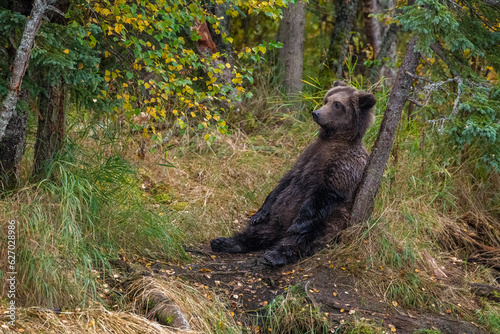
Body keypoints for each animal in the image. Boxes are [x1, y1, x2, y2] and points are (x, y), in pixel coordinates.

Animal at [210, 81, 376, 266]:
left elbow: (325, 193)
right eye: (326, 100)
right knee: (259, 230)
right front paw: (258, 214)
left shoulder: (344, 166)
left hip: (332, 221)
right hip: (275, 216)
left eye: (337, 104)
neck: (334, 139)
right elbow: (284, 182)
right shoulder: (308, 155)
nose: (316, 113)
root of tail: (280, 229)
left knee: (303, 238)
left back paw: (275, 255)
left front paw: (298, 224)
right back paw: (227, 242)